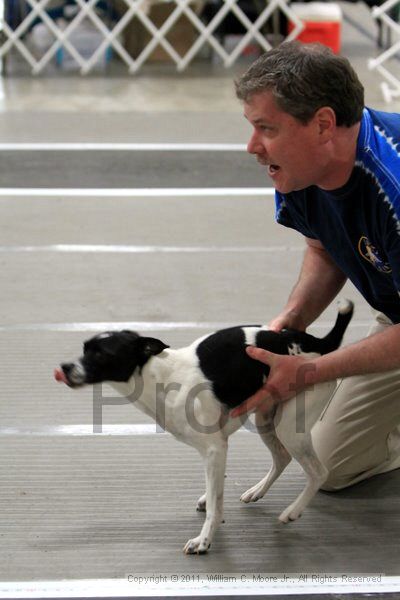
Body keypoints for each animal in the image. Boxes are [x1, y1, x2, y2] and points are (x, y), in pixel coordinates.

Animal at [55, 298, 354, 552]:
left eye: (101, 354)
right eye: (84, 348)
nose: (64, 368)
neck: (161, 379)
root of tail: (318, 344)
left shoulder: (214, 448)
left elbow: (214, 504)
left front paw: (204, 540)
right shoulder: (219, 446)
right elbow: (215, 495)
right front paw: (211, 511)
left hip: (290, 427)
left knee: (318, 472)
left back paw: (293, 510)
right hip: (267, 418)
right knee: (281, 457)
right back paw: (257, 491)